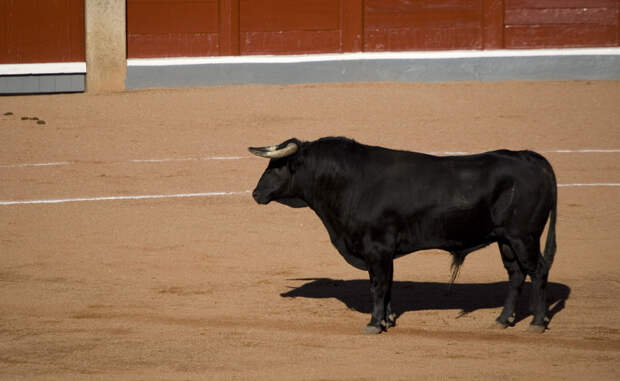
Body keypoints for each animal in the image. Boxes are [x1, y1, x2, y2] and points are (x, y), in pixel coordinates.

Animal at [249, 137, 560, 332]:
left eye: (275, 167)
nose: (255, 193)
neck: (349, 182)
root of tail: (529, 157)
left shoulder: (376, 250)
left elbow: (377, 286)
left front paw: (374, 324)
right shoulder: (384, 254)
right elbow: (387, 286)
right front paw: (387, 320)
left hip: (523, 237)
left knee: (539, 270)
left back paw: (537, 322)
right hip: (506, 240)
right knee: (516, 273)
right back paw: (503, 320)